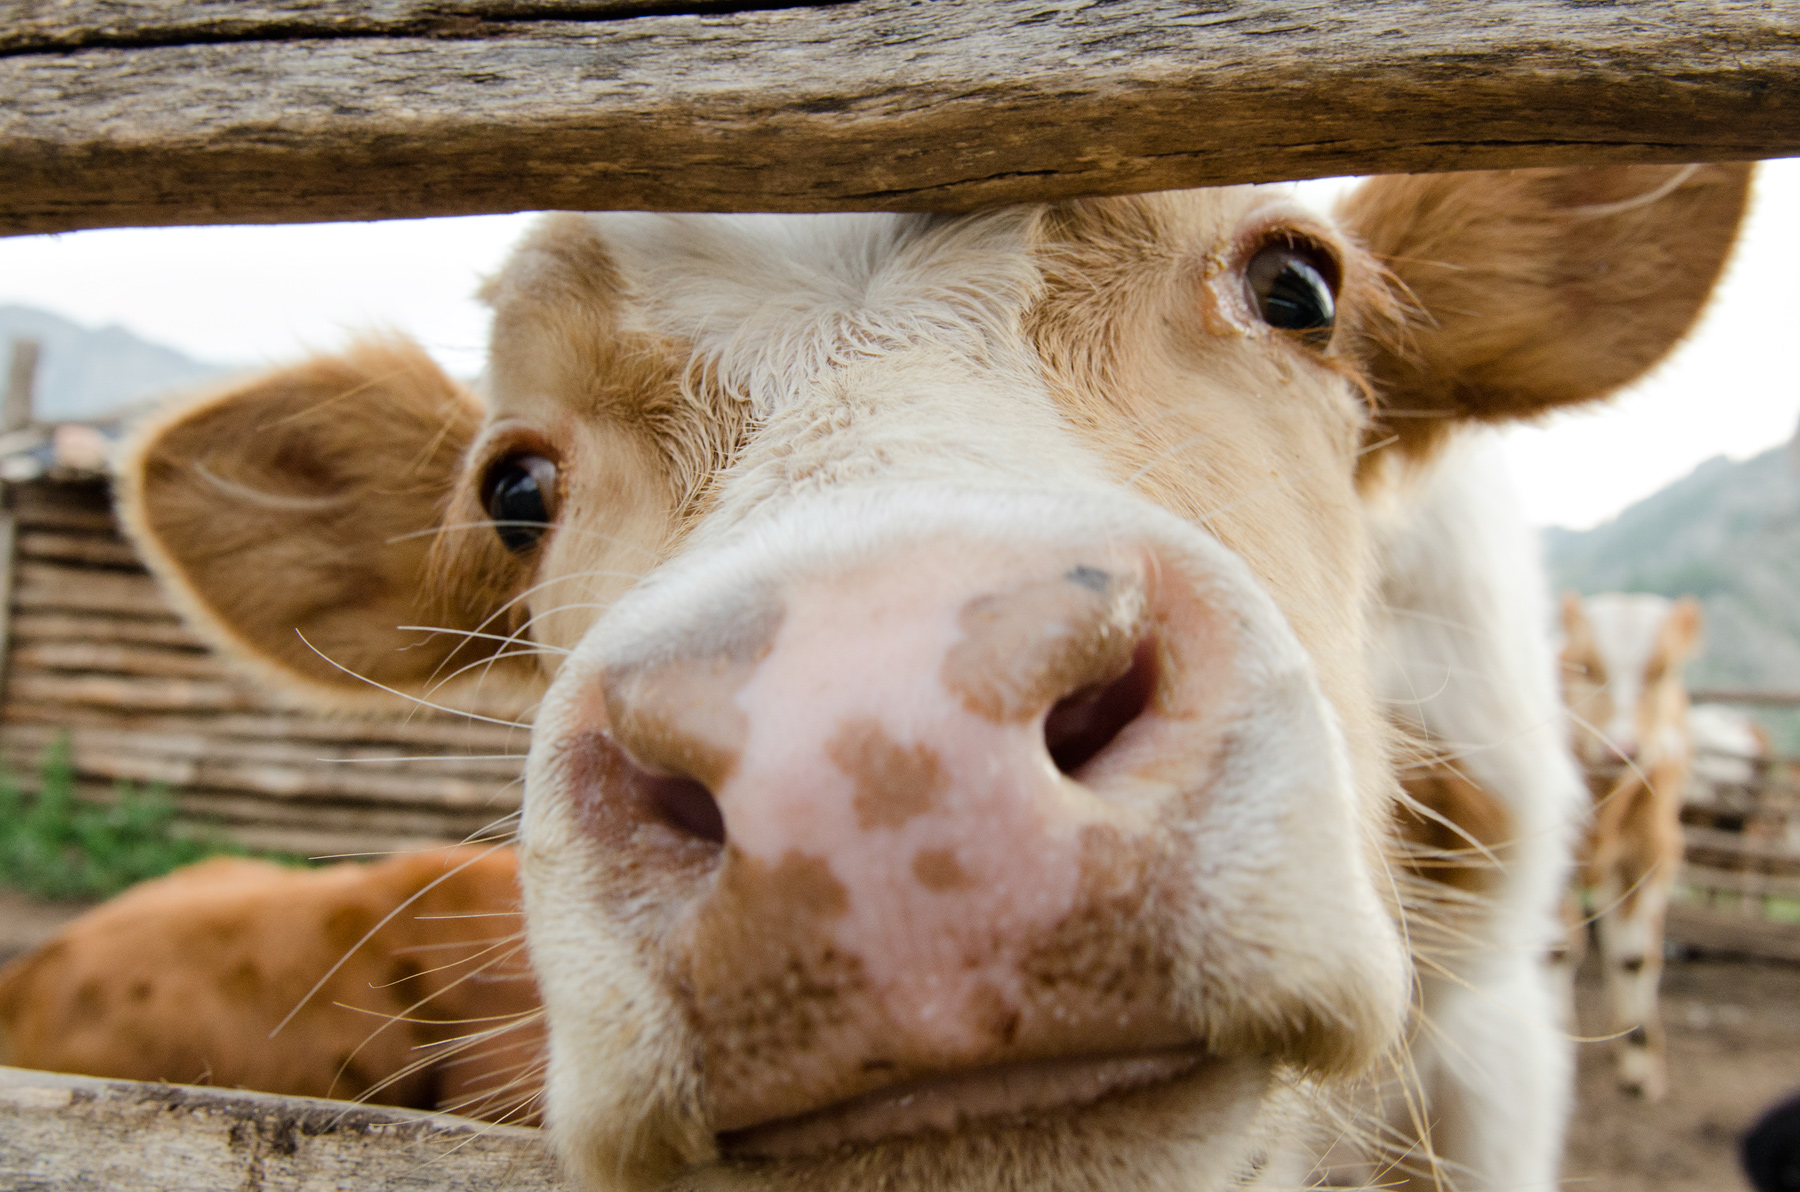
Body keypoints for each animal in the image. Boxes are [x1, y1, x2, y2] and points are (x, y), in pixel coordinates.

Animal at [1558, 591, 1703, 1101]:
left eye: (1659, 672)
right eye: (1585, 667)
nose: (1622, 748)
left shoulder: (1651, 855)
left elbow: (1634, 957)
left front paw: (1640, 1066)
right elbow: (1560, 949)